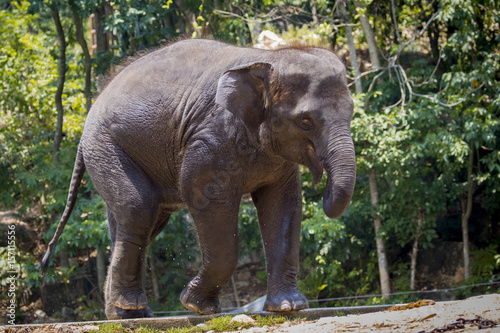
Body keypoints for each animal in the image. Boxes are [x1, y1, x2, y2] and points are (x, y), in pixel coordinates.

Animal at [42, 39, 356, 320]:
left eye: (352, 113)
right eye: (305, 121)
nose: (322, 185)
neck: (267, 57)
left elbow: (283, 206)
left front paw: (288, 307)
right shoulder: (211, 137)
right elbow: (203, 195)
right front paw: (195, 305)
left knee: (138, 224)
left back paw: (126, 314)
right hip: (106, 146)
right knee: (138, 208)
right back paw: (130, 308)